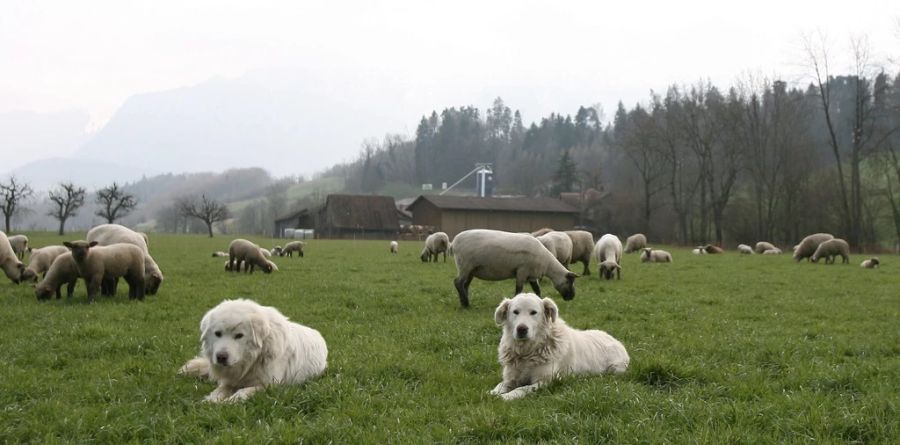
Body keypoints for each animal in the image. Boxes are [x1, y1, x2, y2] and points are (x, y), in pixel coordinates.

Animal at [178, 298, 328, 402]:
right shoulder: (229, 381)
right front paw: (211, 400)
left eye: (239, 335)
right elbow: (219, 390)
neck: (252, 360)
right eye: (218, 333)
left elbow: (244, 391)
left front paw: (231, 401)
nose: (221, 357)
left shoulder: (268, 385)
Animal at [448, 229, 576, 308]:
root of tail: (454, 242)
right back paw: (466, 304)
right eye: (569, 281)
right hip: (464, 265)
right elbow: (518, 289)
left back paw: (464, 302)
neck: (547, 263)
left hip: (471, 270)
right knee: (458, 282)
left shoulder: (532, 275)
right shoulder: (522, 271)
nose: (572, 297)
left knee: (465, 285)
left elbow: (537, 290)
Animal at [488, 292, 628, 398]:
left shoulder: (544, 381)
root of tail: (614, 338)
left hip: (616, 369)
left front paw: (507, 396)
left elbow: (522, 389)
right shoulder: (511, 378)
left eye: (533, 312)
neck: (527, 351)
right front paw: (493, 393)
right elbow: (500, 385)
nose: (522, 329)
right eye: (515, 312)